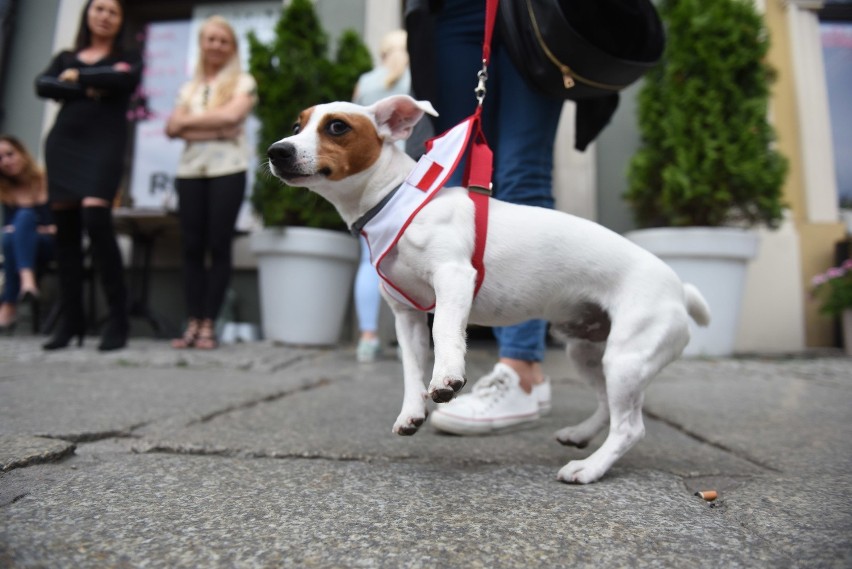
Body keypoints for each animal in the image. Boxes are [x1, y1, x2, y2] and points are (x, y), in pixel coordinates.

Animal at [268, 94, 712, 484]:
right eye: (296, 125)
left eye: (337, 127)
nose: (277, 151)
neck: (394, 200)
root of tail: (679, 288)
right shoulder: (406, 315)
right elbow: (411, 367)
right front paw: (412, 411)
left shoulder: (453, 278)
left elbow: (444, 332)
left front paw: (447, 377)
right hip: (589, 354)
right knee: (607, 405)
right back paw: (582, 435)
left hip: (626, 358)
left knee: (630, 427)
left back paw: (589, 469)